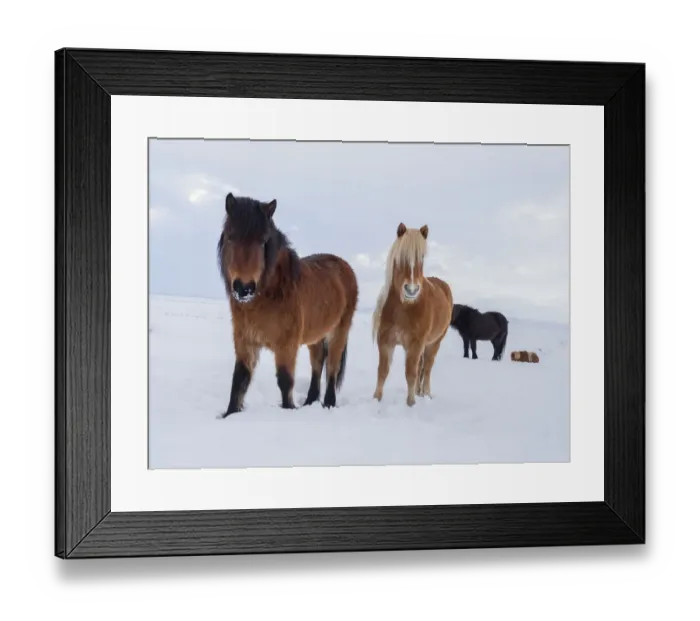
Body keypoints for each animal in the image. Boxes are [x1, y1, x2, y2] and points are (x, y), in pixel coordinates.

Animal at [217, 193, 359, 417]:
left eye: (263, 241)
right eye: (230, 237)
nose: (243, 288)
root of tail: (345, 266)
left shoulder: (286, 345)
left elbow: (285, 381)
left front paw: (289, 410)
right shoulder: (244, 342)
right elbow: (239, 380)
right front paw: (230, 414)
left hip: (339, 332)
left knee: (332, 367)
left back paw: (328, 403)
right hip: (315, 336)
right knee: (318, 363)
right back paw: (310, 401)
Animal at [371, 223, 454, 407]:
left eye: (421, 256)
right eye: (401, 256)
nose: (411, 290)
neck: (404, 308)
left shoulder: (415, 344)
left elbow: (411, 373)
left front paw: (410, 403)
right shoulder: (385, 341)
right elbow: (382, 371)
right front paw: (376, 399)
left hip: (434, 342)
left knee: (427, 367)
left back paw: (427, 393)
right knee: (422, 366)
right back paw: (419, 391)